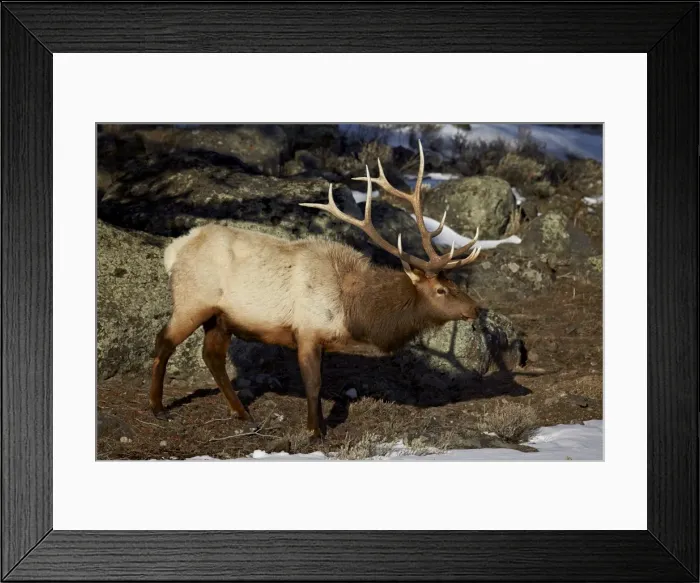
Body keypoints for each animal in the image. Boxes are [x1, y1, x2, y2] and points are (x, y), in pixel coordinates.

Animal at [149, 141, 482, 439]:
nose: (476, 308)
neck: (353, 311)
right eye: (440, 289)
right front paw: (315, 431)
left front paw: (317, 427)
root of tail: (174, 250)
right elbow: (314, 385)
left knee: (212, 356)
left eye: (454, 283)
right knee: (164, 341)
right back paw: (158, 407)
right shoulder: (307, 331)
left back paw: (242, 413)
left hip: (221, 317)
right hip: (192, 301)